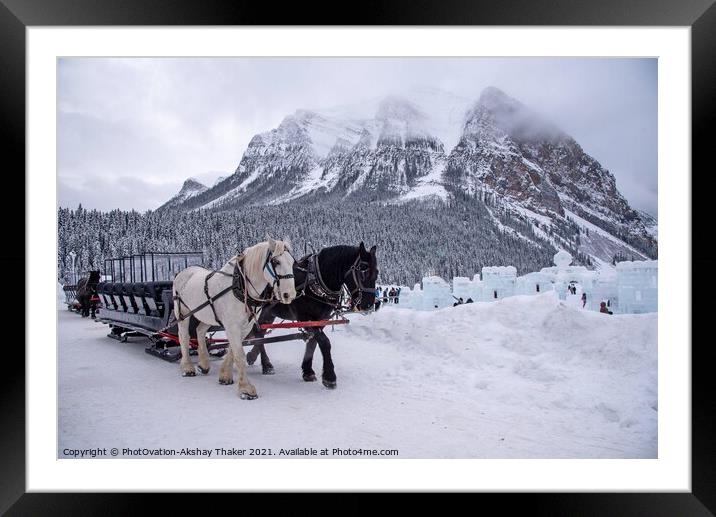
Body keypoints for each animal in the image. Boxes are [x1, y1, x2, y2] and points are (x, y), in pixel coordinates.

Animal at [173, 238, 296, 400]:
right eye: (276, 261)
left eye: (292, 262)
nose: (290, 294)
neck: (240, 286)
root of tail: (183, 272)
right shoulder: (232, 326)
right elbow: (240, 355)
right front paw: (246, 389)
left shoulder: (245, 326)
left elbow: (232, 351)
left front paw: (225, 376)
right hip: (183, 313)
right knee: (184, 337)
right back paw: (187, 367)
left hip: (207, 315)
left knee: (199, 331)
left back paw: (204, 364)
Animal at [246, 242, 378, 388]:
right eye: (363, 272)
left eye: (377, 273)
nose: (368, 305)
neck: (315, 282)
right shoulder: (305, 318)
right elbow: (325, 342)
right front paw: (329, 376)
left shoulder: (321, 320)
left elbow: (313, 342)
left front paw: (308, 371)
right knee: (257, 332)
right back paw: (266, 364)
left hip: (268, 312)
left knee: (259, 332)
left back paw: (253, 356)